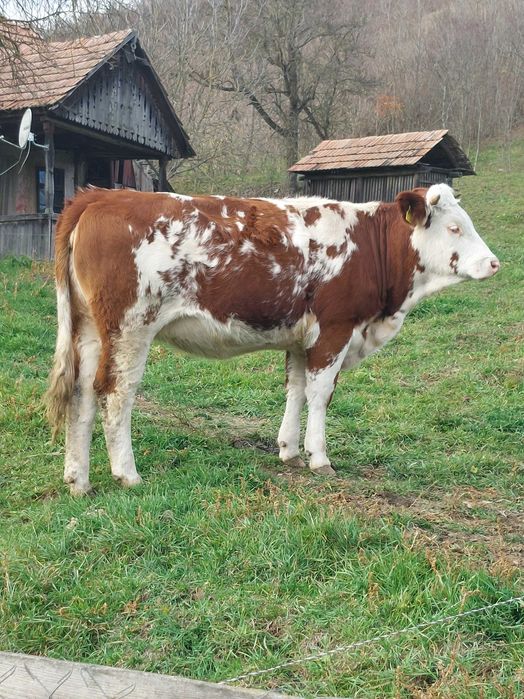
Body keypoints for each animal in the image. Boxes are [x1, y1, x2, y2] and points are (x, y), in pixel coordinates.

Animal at [45, 184, 499, 494]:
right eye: (455, 228)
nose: (494, 263)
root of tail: (101, 196)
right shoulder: (335, 329)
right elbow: (321, 394)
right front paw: (319, 458)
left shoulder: (302, 339)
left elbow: (295, 389)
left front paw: (289, 450)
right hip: (131, 326)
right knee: (115, 392)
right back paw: (127, 473)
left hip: (89, 330)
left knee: (81, 394)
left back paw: (78, 478)